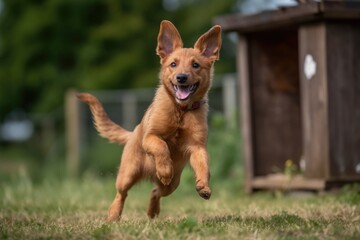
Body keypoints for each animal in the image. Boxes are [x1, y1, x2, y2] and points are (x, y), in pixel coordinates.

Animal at [77, 20, 221, 221]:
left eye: (195, 65)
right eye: (173, 64)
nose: (181, 77)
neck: (180, 111)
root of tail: (132, 134)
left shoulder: (197, 146)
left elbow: (204, 165)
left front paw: (204, 186)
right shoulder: (150, 136)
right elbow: (161, 147)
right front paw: (165, 169)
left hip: (173, 185)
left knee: (155, 191)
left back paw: (153, 211)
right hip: (127, 174)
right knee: (122, 193)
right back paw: (114, 214)